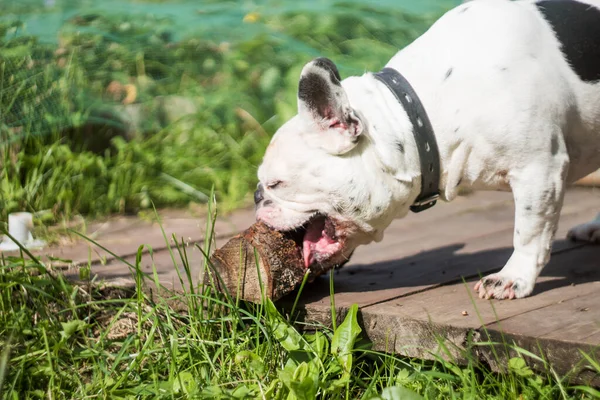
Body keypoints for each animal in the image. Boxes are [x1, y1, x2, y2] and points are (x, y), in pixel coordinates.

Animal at [253, 0, 600, 300]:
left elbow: (529, 229)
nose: (257, 196)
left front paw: (513, 277)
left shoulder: (538, 171)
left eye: (276, 184)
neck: (419, 114)